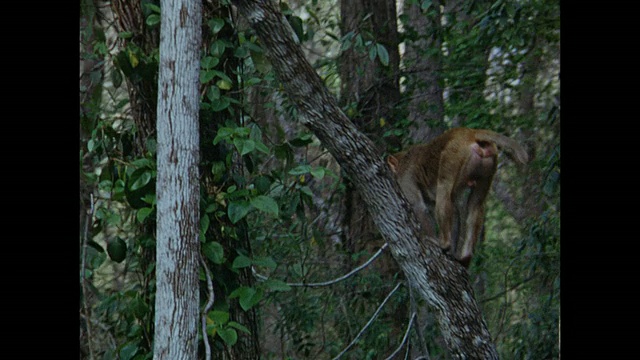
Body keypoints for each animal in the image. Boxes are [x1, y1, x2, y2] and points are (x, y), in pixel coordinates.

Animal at [384, 127, 528, 268]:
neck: (404, 158)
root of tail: (469, 132)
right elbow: (454, 209)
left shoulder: (405, 177)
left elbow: (418, 206)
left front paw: (432, 239)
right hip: (489, 162)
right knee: (475, 204)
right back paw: (466, 256)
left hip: (453, 154)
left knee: (444, 188)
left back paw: (444, 243)